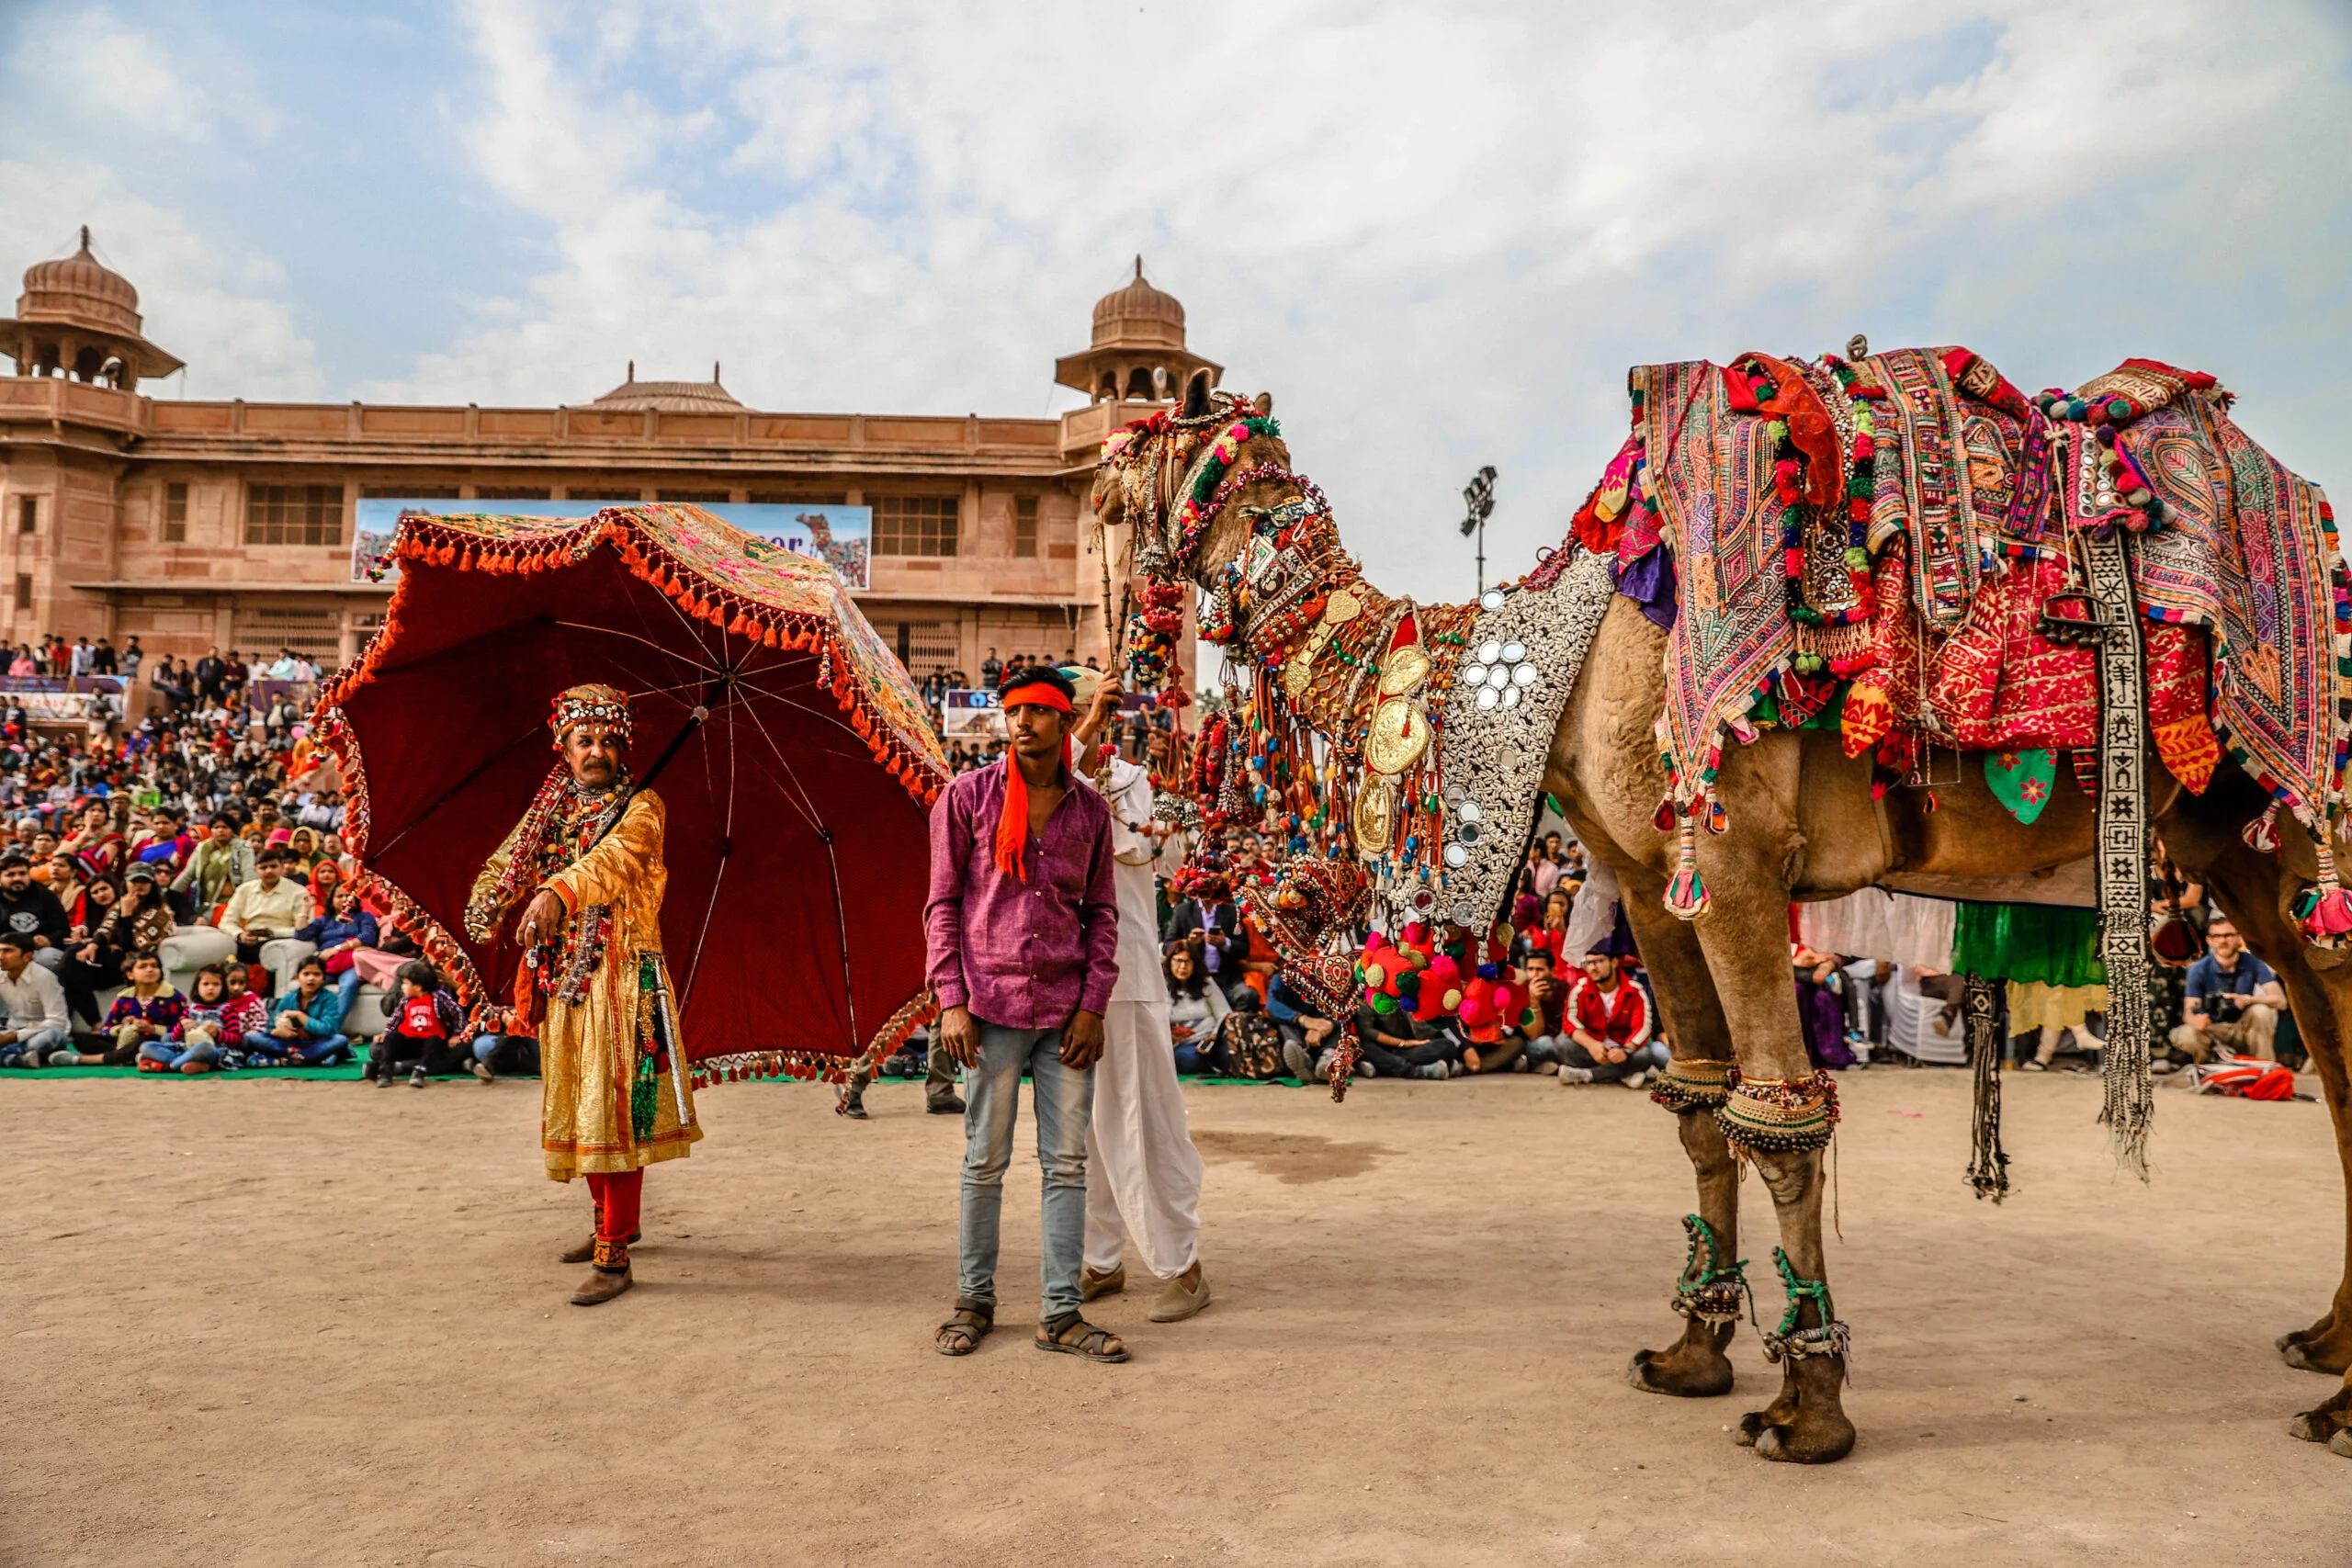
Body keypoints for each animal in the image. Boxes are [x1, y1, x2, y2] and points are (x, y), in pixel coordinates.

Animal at [1095, 359, 2352, 1476]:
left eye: (1121, 472)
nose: (1113, 668)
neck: (1560, 660)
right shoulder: (1651, 882)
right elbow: (1700, 1110)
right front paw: (1690, 1353)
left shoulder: (1738, 859)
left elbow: (1779, 1119)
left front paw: (1807, 1410)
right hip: (2240, 856)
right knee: (2333, 1063)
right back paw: (2325, 1350)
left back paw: (2335, 1405)